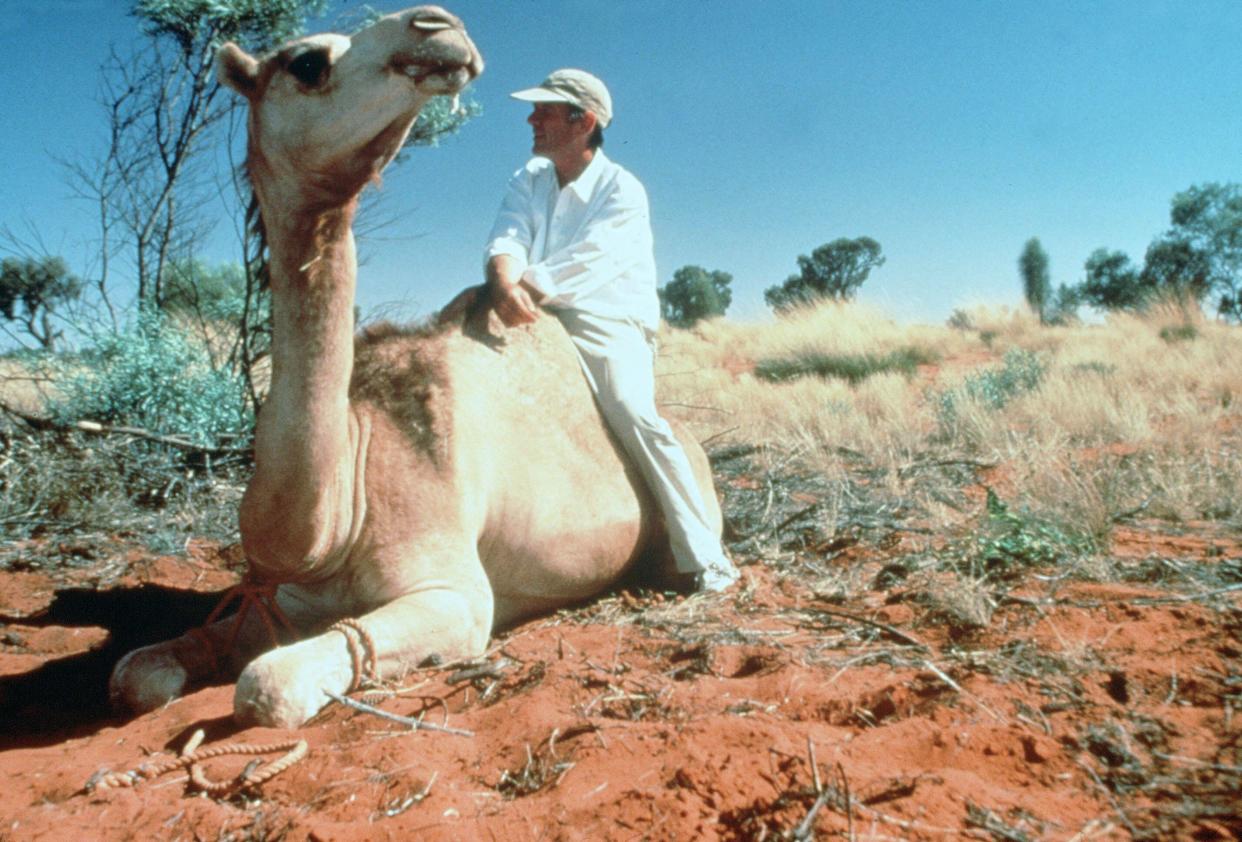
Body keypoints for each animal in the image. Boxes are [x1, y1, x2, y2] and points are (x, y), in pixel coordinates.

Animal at [108, 4, 725, 730]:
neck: (342, 506)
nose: (437, 26)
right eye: (307, 62)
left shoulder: (454, 595)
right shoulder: (282, 602)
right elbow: (138, 672)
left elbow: (268, 686)